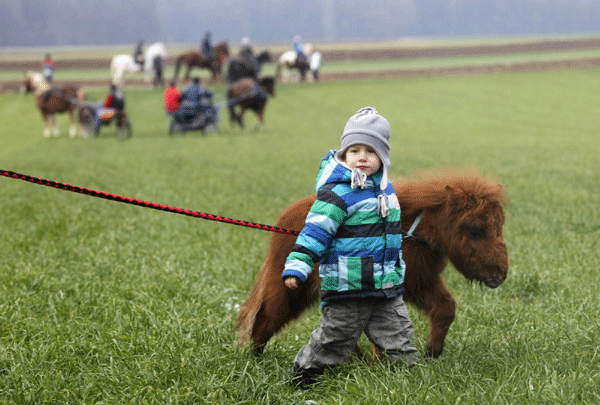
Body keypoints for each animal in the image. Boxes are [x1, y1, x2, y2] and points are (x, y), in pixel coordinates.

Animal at [237, 167, 508, 356]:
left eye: (499, 226)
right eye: (475, 230)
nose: (500, 275)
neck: (410, 229)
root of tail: (284, 219)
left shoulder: (420, 281)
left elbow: (444, 308)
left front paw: (432, 352)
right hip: (290, 289)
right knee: (265, 318)